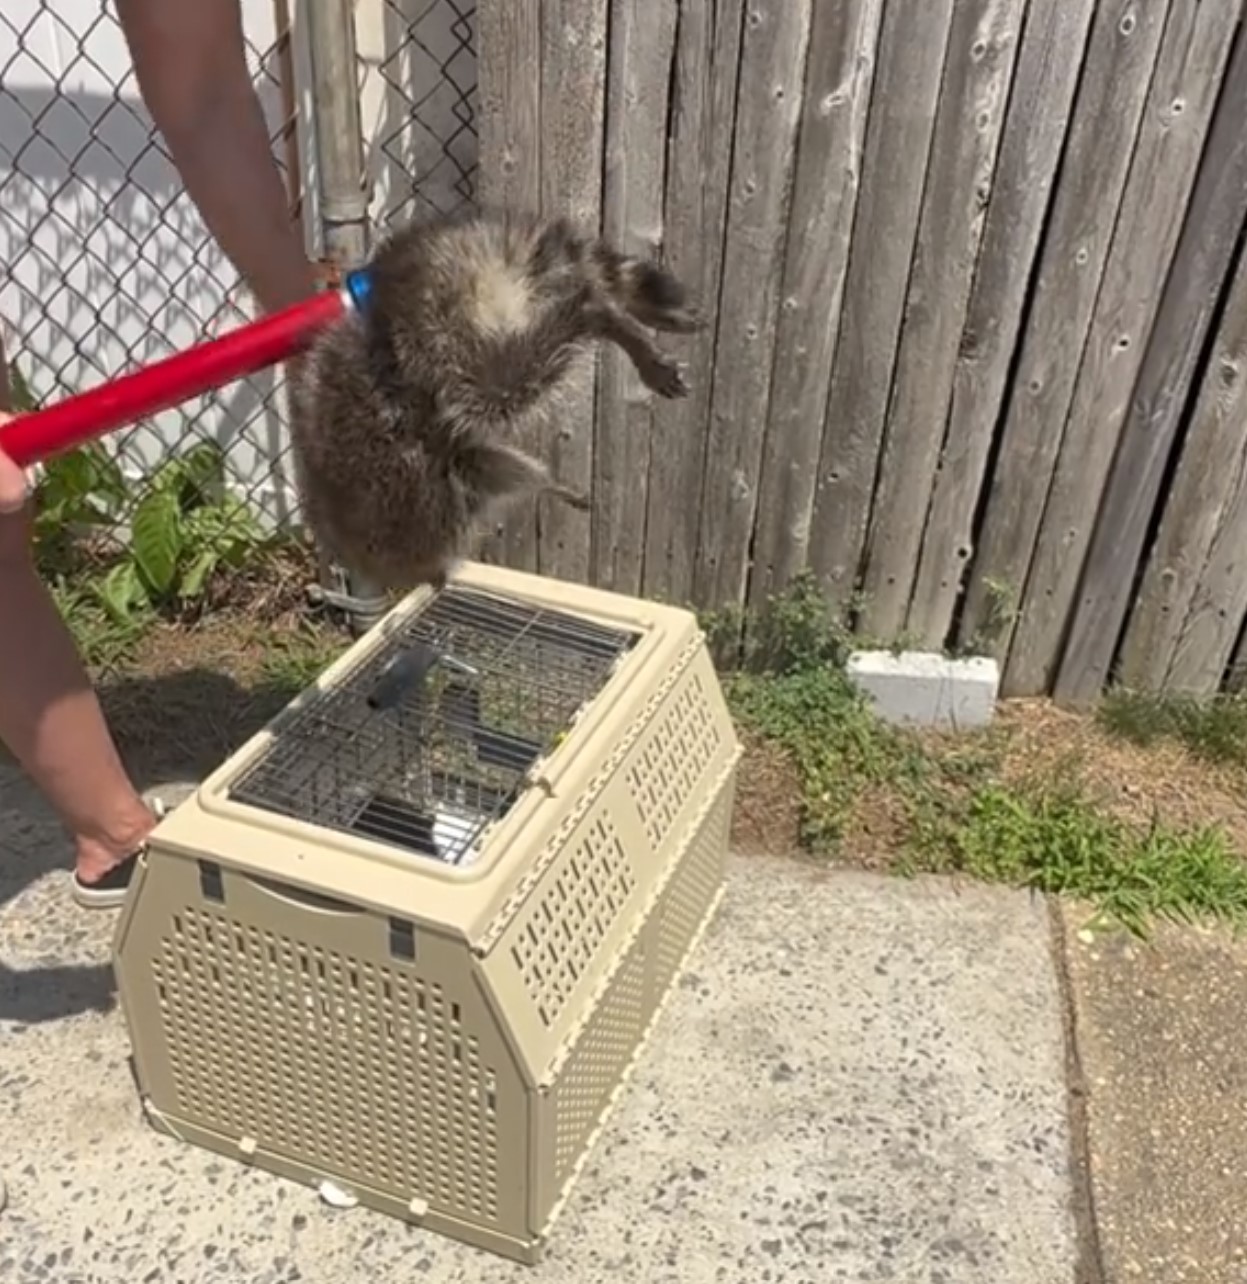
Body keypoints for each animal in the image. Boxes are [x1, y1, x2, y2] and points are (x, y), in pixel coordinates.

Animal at [290, 208, 703, 593]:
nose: (434, 577)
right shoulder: (446, 456)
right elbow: (502, 466)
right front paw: (551, 484)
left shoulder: (431, 466)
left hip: (445, 336)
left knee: (512, 372)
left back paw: (597, 314)